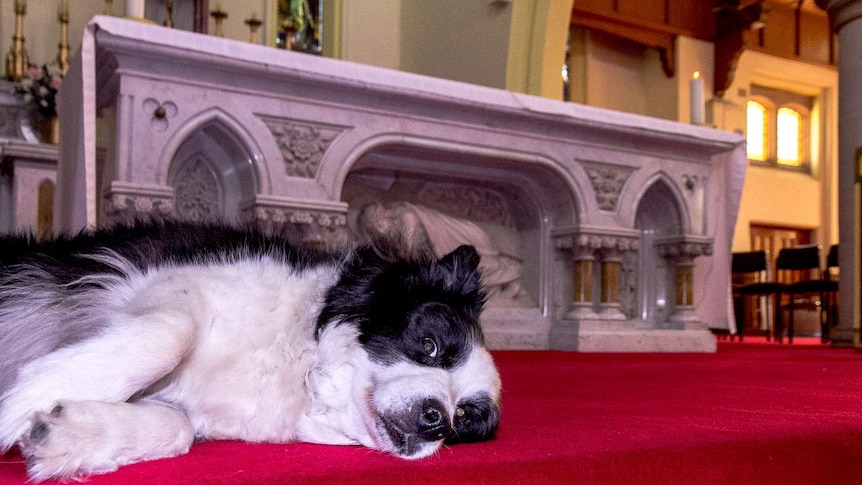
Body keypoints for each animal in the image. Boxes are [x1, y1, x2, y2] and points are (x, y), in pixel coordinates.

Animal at [0, 219, 500, 480]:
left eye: (464, 420)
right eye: (430, 344)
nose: (437, 419)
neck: (298, 359)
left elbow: (179, 426)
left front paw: (70, 434)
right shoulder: (159, 284)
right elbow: (172, 334)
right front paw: (19, 404)